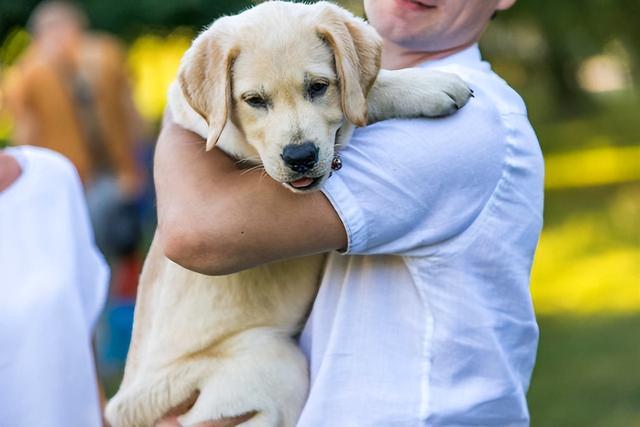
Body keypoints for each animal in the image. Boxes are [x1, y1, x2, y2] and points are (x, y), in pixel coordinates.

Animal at [107, 0, 472, 427]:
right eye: (253, 100)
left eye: (318, 87)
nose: (300, 157)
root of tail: (125, 407)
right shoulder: (235, 143)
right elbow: (362, 107)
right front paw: (428, 85)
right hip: (272, 362)